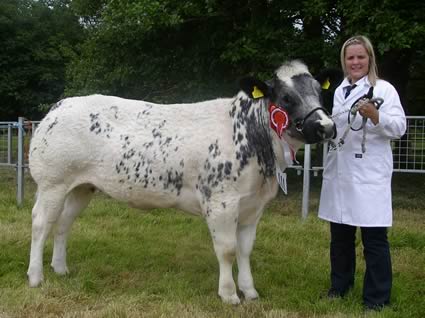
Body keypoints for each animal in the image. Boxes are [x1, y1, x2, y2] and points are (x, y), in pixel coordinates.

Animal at [28, 60, 336, 306]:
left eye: (320, 91)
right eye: (286, 97)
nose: (326, 126)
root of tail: (61, 105)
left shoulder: (253, 205)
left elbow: (245, 249)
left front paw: (250, 291)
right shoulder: (220, 201)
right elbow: (227, 249)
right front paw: (229, 294)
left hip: (81, 186)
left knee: (64, 223)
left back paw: (61, 269)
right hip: (52, 182)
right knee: (41, 223)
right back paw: (35, 277)